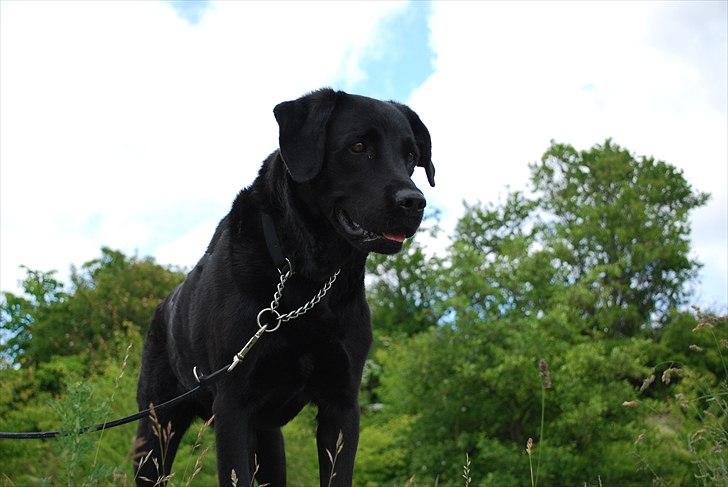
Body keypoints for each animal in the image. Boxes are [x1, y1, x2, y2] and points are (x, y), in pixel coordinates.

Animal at [134, 88, 436, 487]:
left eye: (412, 157)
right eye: (358, 147)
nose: (414, 202)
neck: (309, 279)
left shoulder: (341, 402)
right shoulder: (232, 405)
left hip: (268, 439)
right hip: (155, 430)